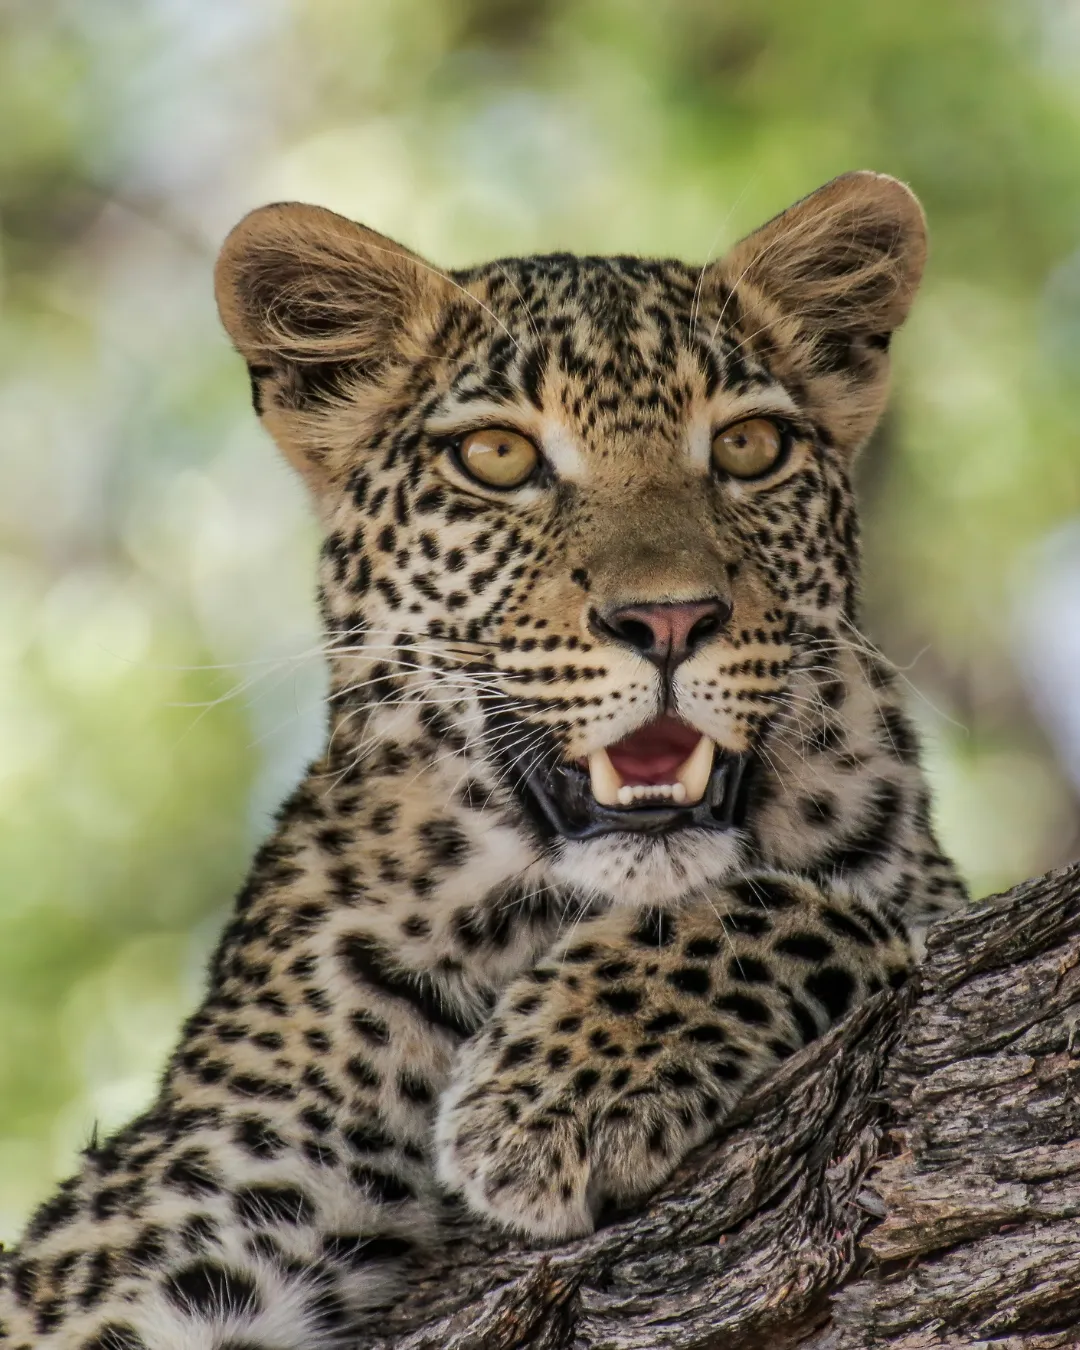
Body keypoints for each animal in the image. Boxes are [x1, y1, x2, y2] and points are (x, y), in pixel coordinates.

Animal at [0, 171, 967, 1350]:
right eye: (498, 459)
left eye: (747, 449)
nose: (670, 619)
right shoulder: (170, 1217)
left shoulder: (913, 886)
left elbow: (831, 907)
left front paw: (556, 1093)